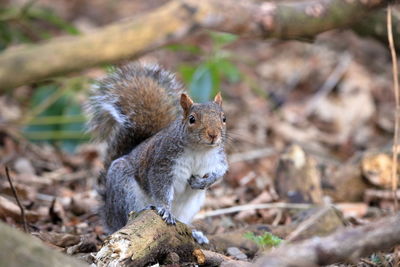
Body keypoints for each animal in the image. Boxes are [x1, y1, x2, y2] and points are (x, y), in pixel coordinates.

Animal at [84, 62, 228, 245]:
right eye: (192, 119)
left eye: (223, 118)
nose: (213, 135)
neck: (199, 150)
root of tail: (109, 216)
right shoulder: (162, 163)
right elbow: (161, 188)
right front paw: (165, 209)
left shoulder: (218, 158)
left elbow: (221, 171)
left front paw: (204, 182)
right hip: (124, 189)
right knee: (127, 216)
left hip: (191, 206)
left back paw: (194, 233)